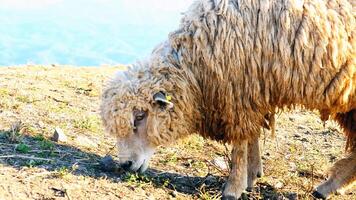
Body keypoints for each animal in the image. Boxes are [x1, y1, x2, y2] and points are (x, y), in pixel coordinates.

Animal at [99, 0, 354, 199]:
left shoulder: (238, 94)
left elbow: (240, 144)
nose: (125, 165)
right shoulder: (251, 92)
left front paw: (234, 187)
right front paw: (252, 174)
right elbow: (252, 136)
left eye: (140, 117)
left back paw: (328, 186)